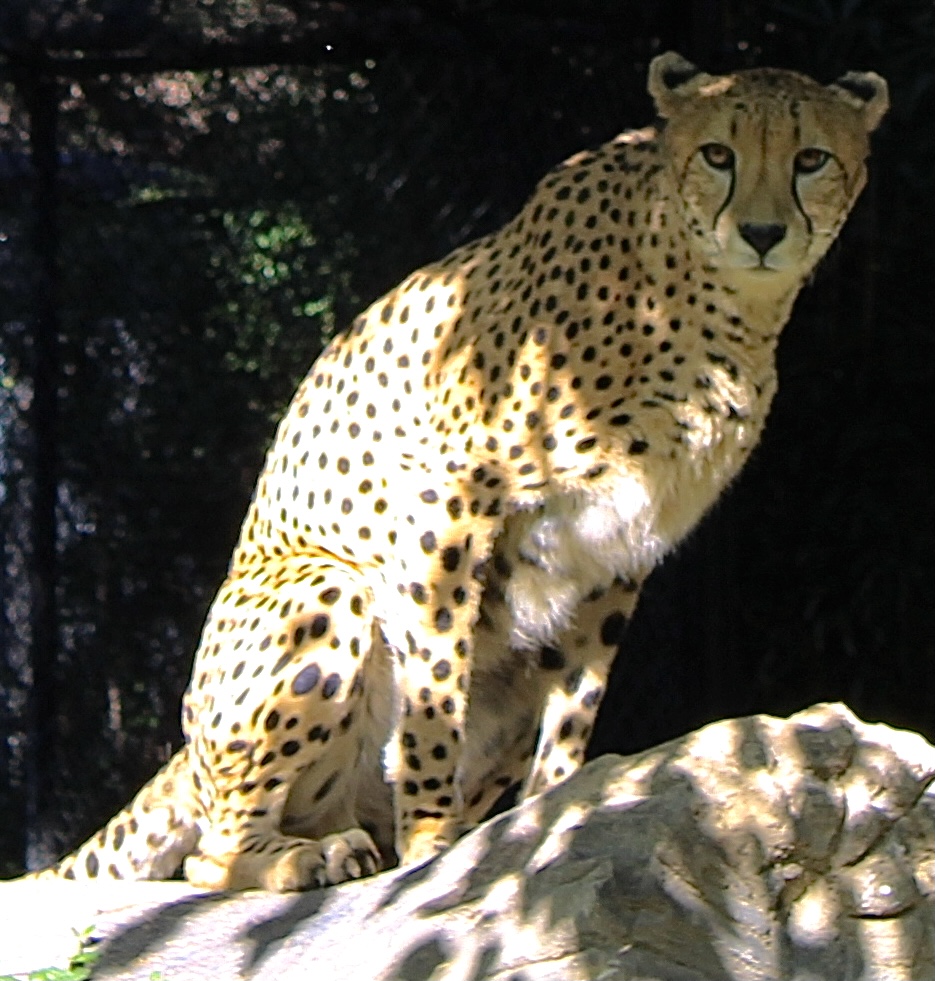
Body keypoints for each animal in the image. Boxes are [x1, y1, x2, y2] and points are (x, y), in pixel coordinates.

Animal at [24, 52, 887, 892]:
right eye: (717, 154)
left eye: (810, 158)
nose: (763, 232)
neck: (715, 300)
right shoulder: (449, 493)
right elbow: (436, 684)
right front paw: (433, 837)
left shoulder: (621, 545)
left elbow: (577, 702)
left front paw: (557, 810)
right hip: (324, 586)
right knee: (211, 853)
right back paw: (312, 857)